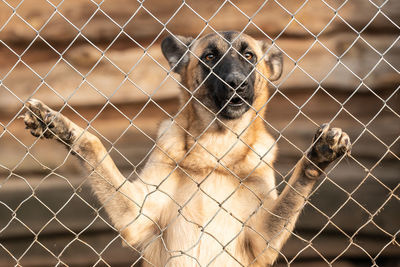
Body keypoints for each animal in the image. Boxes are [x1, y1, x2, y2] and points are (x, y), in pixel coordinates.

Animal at [21, 30, 350, 266]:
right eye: (209, 56)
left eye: (249, 55)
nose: (236, 83)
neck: (216, 150)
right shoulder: (137, 214)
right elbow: (93, 144)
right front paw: (59, 125)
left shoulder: (261, 238)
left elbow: (293, 194)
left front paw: (318, 155)